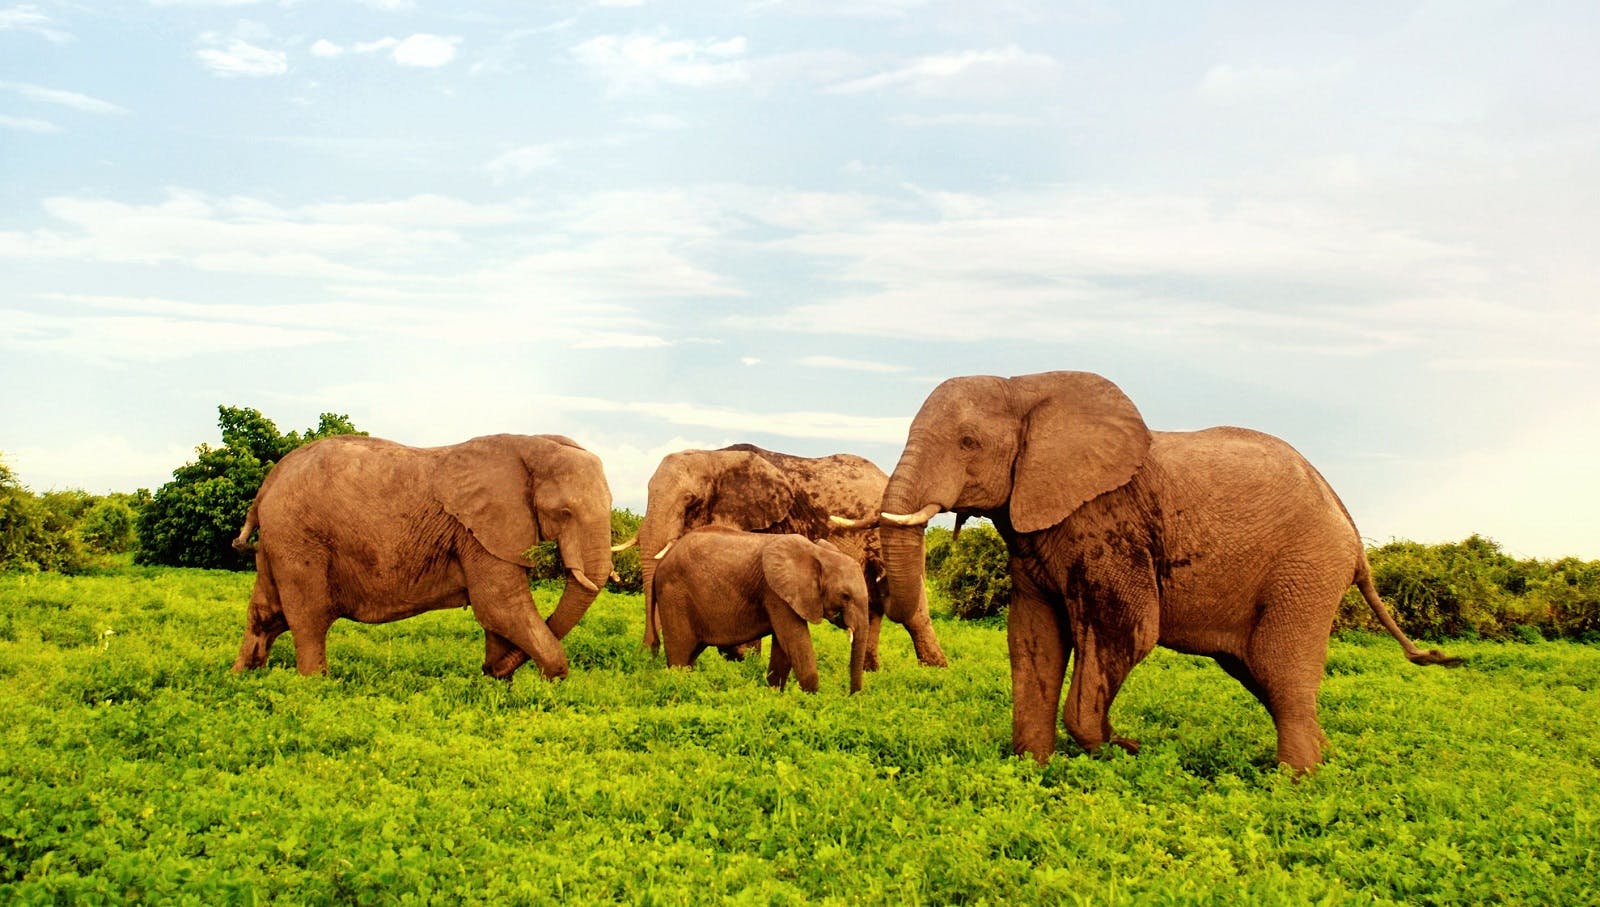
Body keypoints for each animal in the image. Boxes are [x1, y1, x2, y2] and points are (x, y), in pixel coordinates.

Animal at [229, 433, 615, 680]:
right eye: (564, 512)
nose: (487, 671)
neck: (534, 444)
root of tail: (268, 482)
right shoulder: (477, 531)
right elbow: (499, 606)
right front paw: (550, 682)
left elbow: (498, 614)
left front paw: (496, 685)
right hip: (298, 540)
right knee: (308, 619)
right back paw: (314, 686)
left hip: (277, 542)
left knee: (265, 613)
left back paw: (241, 677)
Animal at [637, 444, 946, 671]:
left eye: (690, 501)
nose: (649, 652)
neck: (713, 456)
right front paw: (737, 658)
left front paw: (744, 661)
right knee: (873, 605)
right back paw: (870, 670)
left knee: (910, 606)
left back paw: (934, 670)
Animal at [650, 527, 870, 693]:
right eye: (845, 596)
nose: (851, 696)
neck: (817, 553)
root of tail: (660, 564)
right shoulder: (776, 593)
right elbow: (795, 641)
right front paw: (812, 700)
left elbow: (783, 648)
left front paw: (775, 695)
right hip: (674, 597)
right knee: (679, 656)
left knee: (690, 656)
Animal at [861, 370, 1457, 772]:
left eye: (969, 443)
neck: (1024, 387)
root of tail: (1351, 531)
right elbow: (1033, 641)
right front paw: (1034, 770)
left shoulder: (1107, 522)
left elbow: (1128, 629)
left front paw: (1121, 748)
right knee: (1259, 672)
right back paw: (1327, 759)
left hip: (1307, 567)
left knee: (1280, 669)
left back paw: (1297, 782)